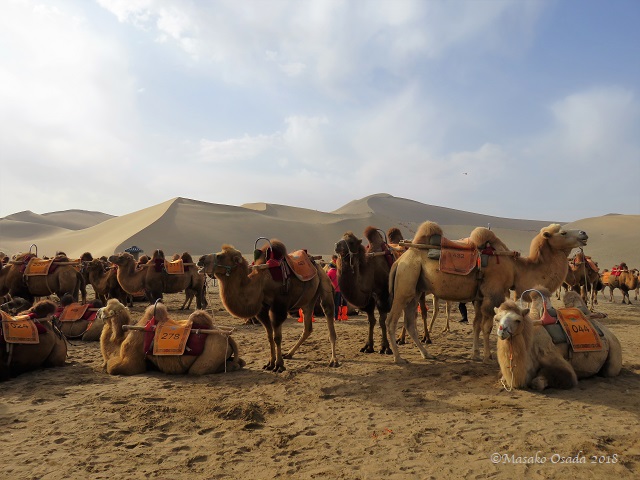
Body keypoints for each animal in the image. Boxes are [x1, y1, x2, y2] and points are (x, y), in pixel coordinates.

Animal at [99, 299, 245, 375]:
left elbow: (112, 367)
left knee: (197, 370)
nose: (98, 311)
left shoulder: (132, 359)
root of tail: (227, 336)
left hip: (212, 352)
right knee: (239, 362)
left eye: (107, 310)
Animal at [197, 240, 338, 372]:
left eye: (220, 256)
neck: (260, 283)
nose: (200, 260)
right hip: (307, 301)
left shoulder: (279, 307)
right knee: (307, 327)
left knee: (328, 313)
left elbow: (277, 337)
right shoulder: (262, 309)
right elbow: (269, 336)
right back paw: (289, 354)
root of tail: (315, 262)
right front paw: (270, 363)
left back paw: (334, 360)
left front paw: (279, 365)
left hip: (324, 282)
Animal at [386, 222, 588, 364]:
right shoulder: (493, 295)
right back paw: (398, 358)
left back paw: (426, 354)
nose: (584, 233)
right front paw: (487, 356)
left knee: (410, 323)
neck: (517, 268)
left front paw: (475, 355)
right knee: (391, 321)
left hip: (415, 289)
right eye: (562, 233)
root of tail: (400, 260)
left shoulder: (479, 297)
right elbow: (488, 327)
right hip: (405, 283)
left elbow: (476, 325)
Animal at [493, 287, 622, 390]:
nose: (502, 330)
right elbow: (503, 378)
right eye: (496, 319)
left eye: (517, 320)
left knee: (609, 371)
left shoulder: (552, 356)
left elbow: (538, 382)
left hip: (614, 351)